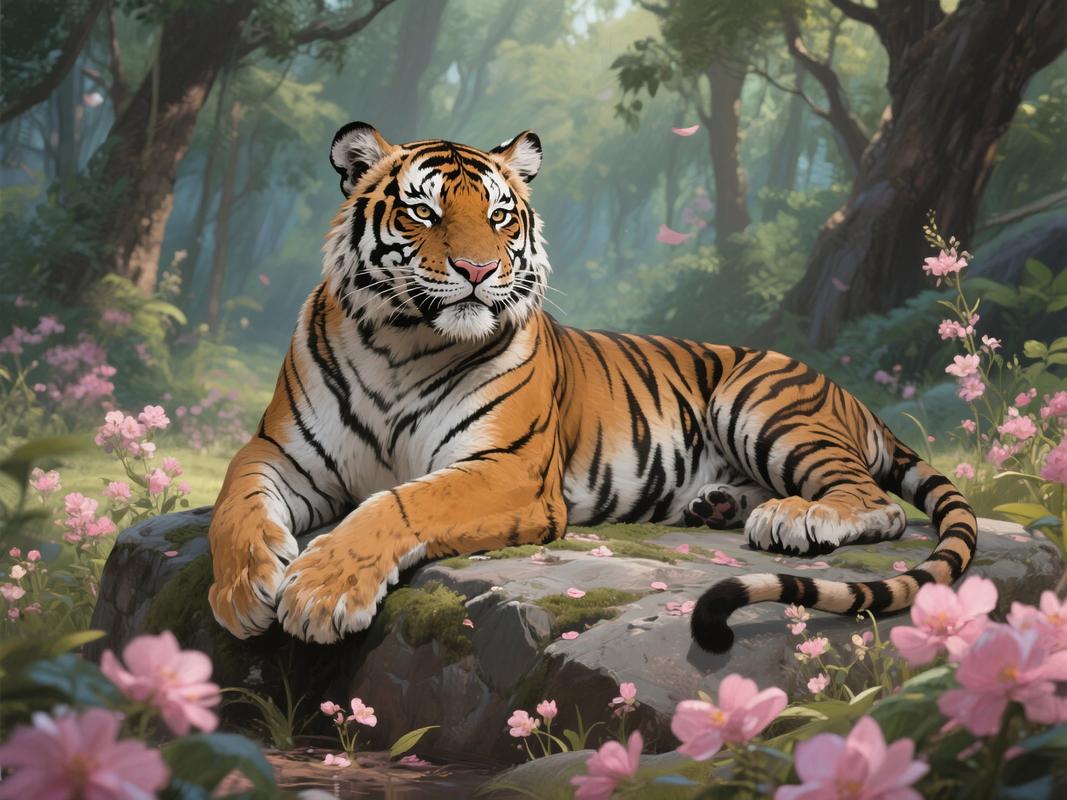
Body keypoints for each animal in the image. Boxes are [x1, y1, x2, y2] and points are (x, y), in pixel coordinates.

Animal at [206, 122, 978, 650]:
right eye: (423, 212)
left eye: (499, 215)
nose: (477, 271)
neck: (402, 342)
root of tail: (854, 400)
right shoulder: (279, 450)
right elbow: (235, 502)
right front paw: (243, 587)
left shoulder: (507, 467)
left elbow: (398, 503)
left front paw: (321, 591)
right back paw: (719, 504)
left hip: (761, 401)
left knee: (875, 502)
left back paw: (793, 515)